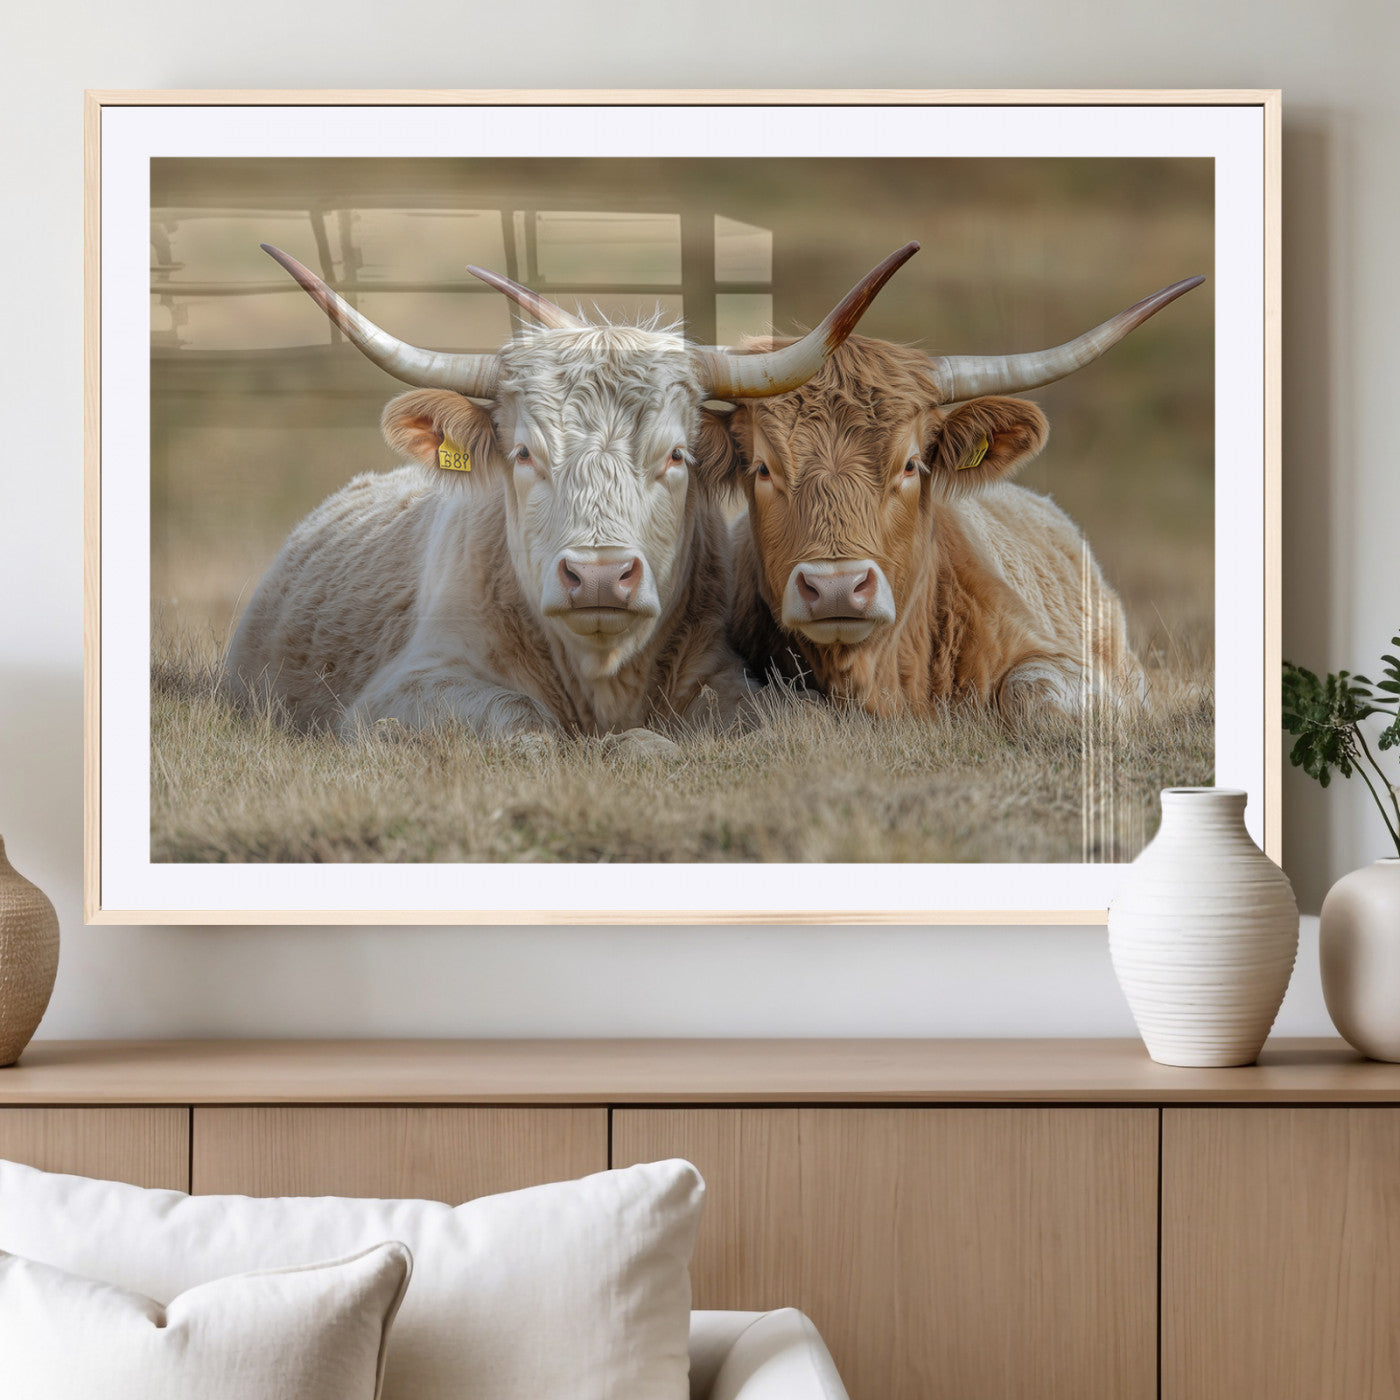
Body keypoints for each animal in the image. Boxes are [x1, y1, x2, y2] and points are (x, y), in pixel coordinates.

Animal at [222, 241, 918, 753]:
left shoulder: (728, 677)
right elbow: (524, 726)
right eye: (525, 453)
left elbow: (787, 723)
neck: (601, 672)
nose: (600, 576)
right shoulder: (407, 690)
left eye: (676, 455)